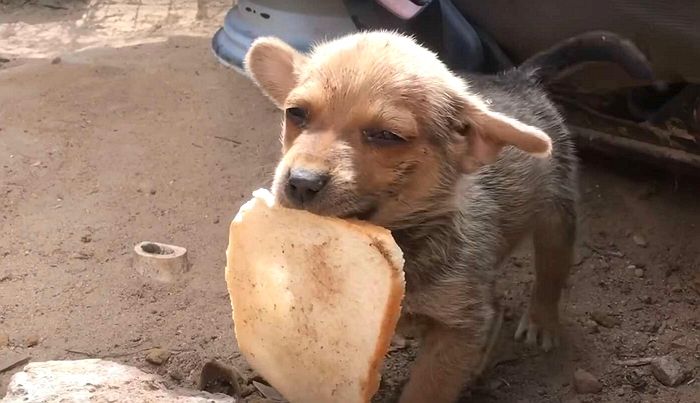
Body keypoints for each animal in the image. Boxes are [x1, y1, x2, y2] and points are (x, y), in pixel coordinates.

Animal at [243, 30, 652, 402]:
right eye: (296, 113)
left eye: (386, 136)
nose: (300, 182)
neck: (405, 239)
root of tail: (517, 79)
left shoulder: (458, 330)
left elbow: (426, 390)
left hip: (557, 215)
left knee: (552, 272)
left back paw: (541, 321)